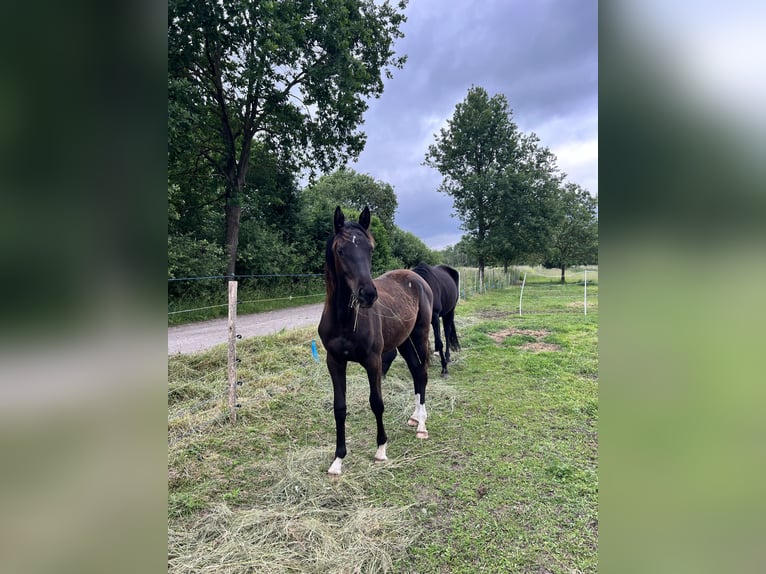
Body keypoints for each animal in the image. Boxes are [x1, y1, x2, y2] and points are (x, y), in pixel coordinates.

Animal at [318, 206, 434, 476]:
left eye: (370, 249)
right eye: (341, 250)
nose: (368, 294)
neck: (345, 320)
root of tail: (416, 277)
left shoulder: (374, 360)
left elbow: (376, 402)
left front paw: (381, 450)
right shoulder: (334, 362)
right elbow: (340, 408)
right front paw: (337, 460)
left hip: (420, 334)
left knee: (422, 373)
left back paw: (422, 425)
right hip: (403, 341)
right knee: (415, 371)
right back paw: (414, 417)